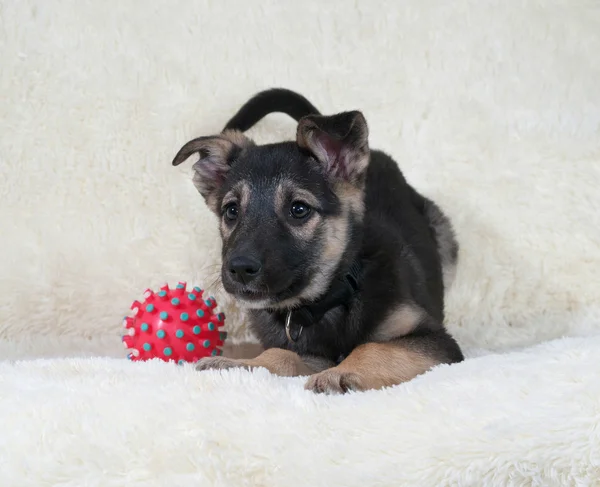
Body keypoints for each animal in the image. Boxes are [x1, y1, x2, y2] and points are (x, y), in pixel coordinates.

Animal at [171, 87, 462, 394]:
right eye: (231, 211)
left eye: (299, 209)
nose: (239, 269)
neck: (328, 302)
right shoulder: (309, 353)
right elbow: (280, 354)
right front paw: (238, 363)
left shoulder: (436, 341)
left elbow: (373, 347)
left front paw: (341, 373)